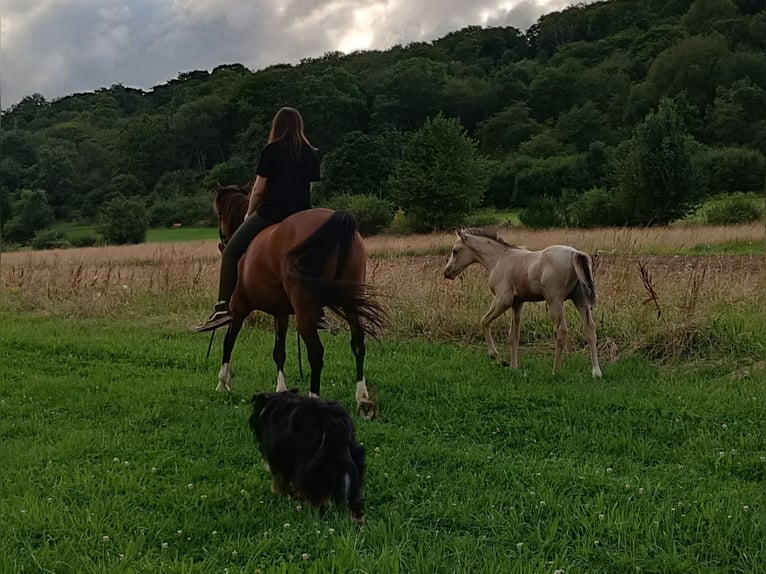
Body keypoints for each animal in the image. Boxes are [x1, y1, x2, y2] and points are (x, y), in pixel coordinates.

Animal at [213, 184, 387, 418]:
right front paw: (281, 390)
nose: (222, 243)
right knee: (358, 343)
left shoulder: (240, 306)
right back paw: (363, 400)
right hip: (350, 300)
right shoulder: (281, 312)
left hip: (304, 308)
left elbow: (228, 341)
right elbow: (279, 351)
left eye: (219, 213)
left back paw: (315, 401)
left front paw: (223, 383)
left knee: (316, 352)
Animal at [443, 228, 602, 378]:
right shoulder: (517, 303)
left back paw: (555, 372)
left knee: (562, 330)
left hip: (554, 301)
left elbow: (484, 321)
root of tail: (575, 254)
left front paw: (499, 359)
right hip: (580, 299)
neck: (499, 259)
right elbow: (514, 336)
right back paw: (596, 372)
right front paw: (514, 367)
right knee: (590, 328)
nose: (447, 272)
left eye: (455, 251)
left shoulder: (503, 299)